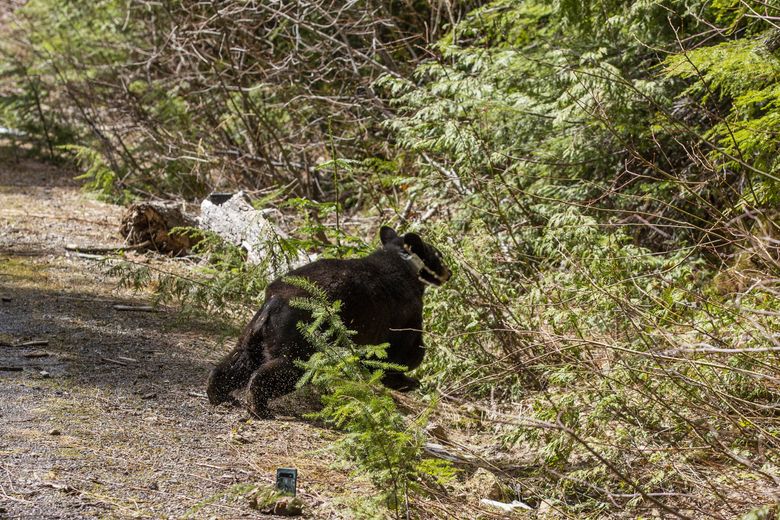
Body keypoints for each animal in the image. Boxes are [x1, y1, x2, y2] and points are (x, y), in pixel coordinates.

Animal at [207, 225, 450, 416]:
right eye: (439, 255)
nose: (449, 272)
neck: (404, 263)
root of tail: (274, 303)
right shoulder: (404, 313)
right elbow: (405, 351)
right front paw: (407, 380)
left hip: (255, 333)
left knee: (239, 360)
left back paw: (218, 393)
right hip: (302, 337)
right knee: (287, 369)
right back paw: (258, 406)